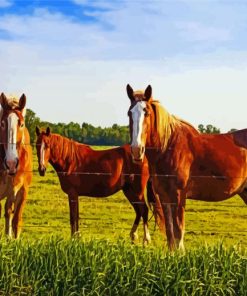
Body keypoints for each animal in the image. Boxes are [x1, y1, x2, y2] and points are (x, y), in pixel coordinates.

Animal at [34, 126, 162, 244]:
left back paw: (146, 239)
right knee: (138, 211)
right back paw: (133, 235)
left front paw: (74, 239)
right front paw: (77, 238)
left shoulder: (72, 194)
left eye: (47, 145)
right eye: (36, 145)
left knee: (144, 210)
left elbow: (73, 217)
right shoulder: (75, 195)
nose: (41, 169)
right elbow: (76, 217)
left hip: (137, 190)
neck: (69, 161)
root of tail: (143, 157)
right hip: (129, 190)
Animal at [125, 84, 247, 251]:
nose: (137, 150)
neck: (168, 146)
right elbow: (170, 235)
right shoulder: (165, 197)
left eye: (147, 113)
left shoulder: (178, 196)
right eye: (129, 113)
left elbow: (178, 233)